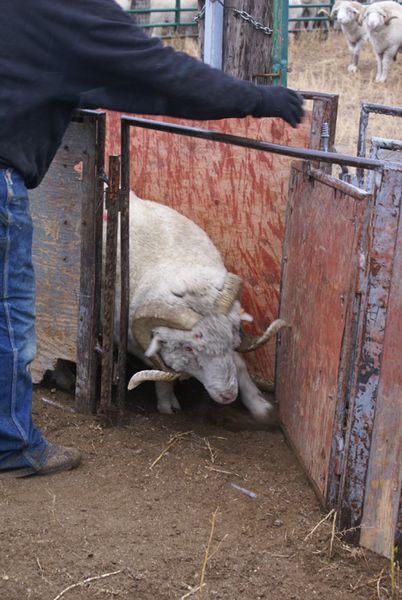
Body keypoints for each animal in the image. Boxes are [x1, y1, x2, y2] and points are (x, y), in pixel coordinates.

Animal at [117, 193, 286, 422]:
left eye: (232, 340)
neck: (180, 265)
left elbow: (239, 364)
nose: (228, 395)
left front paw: (260, 406)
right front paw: (166, 403)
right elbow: (162, 369)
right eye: (188, 347)